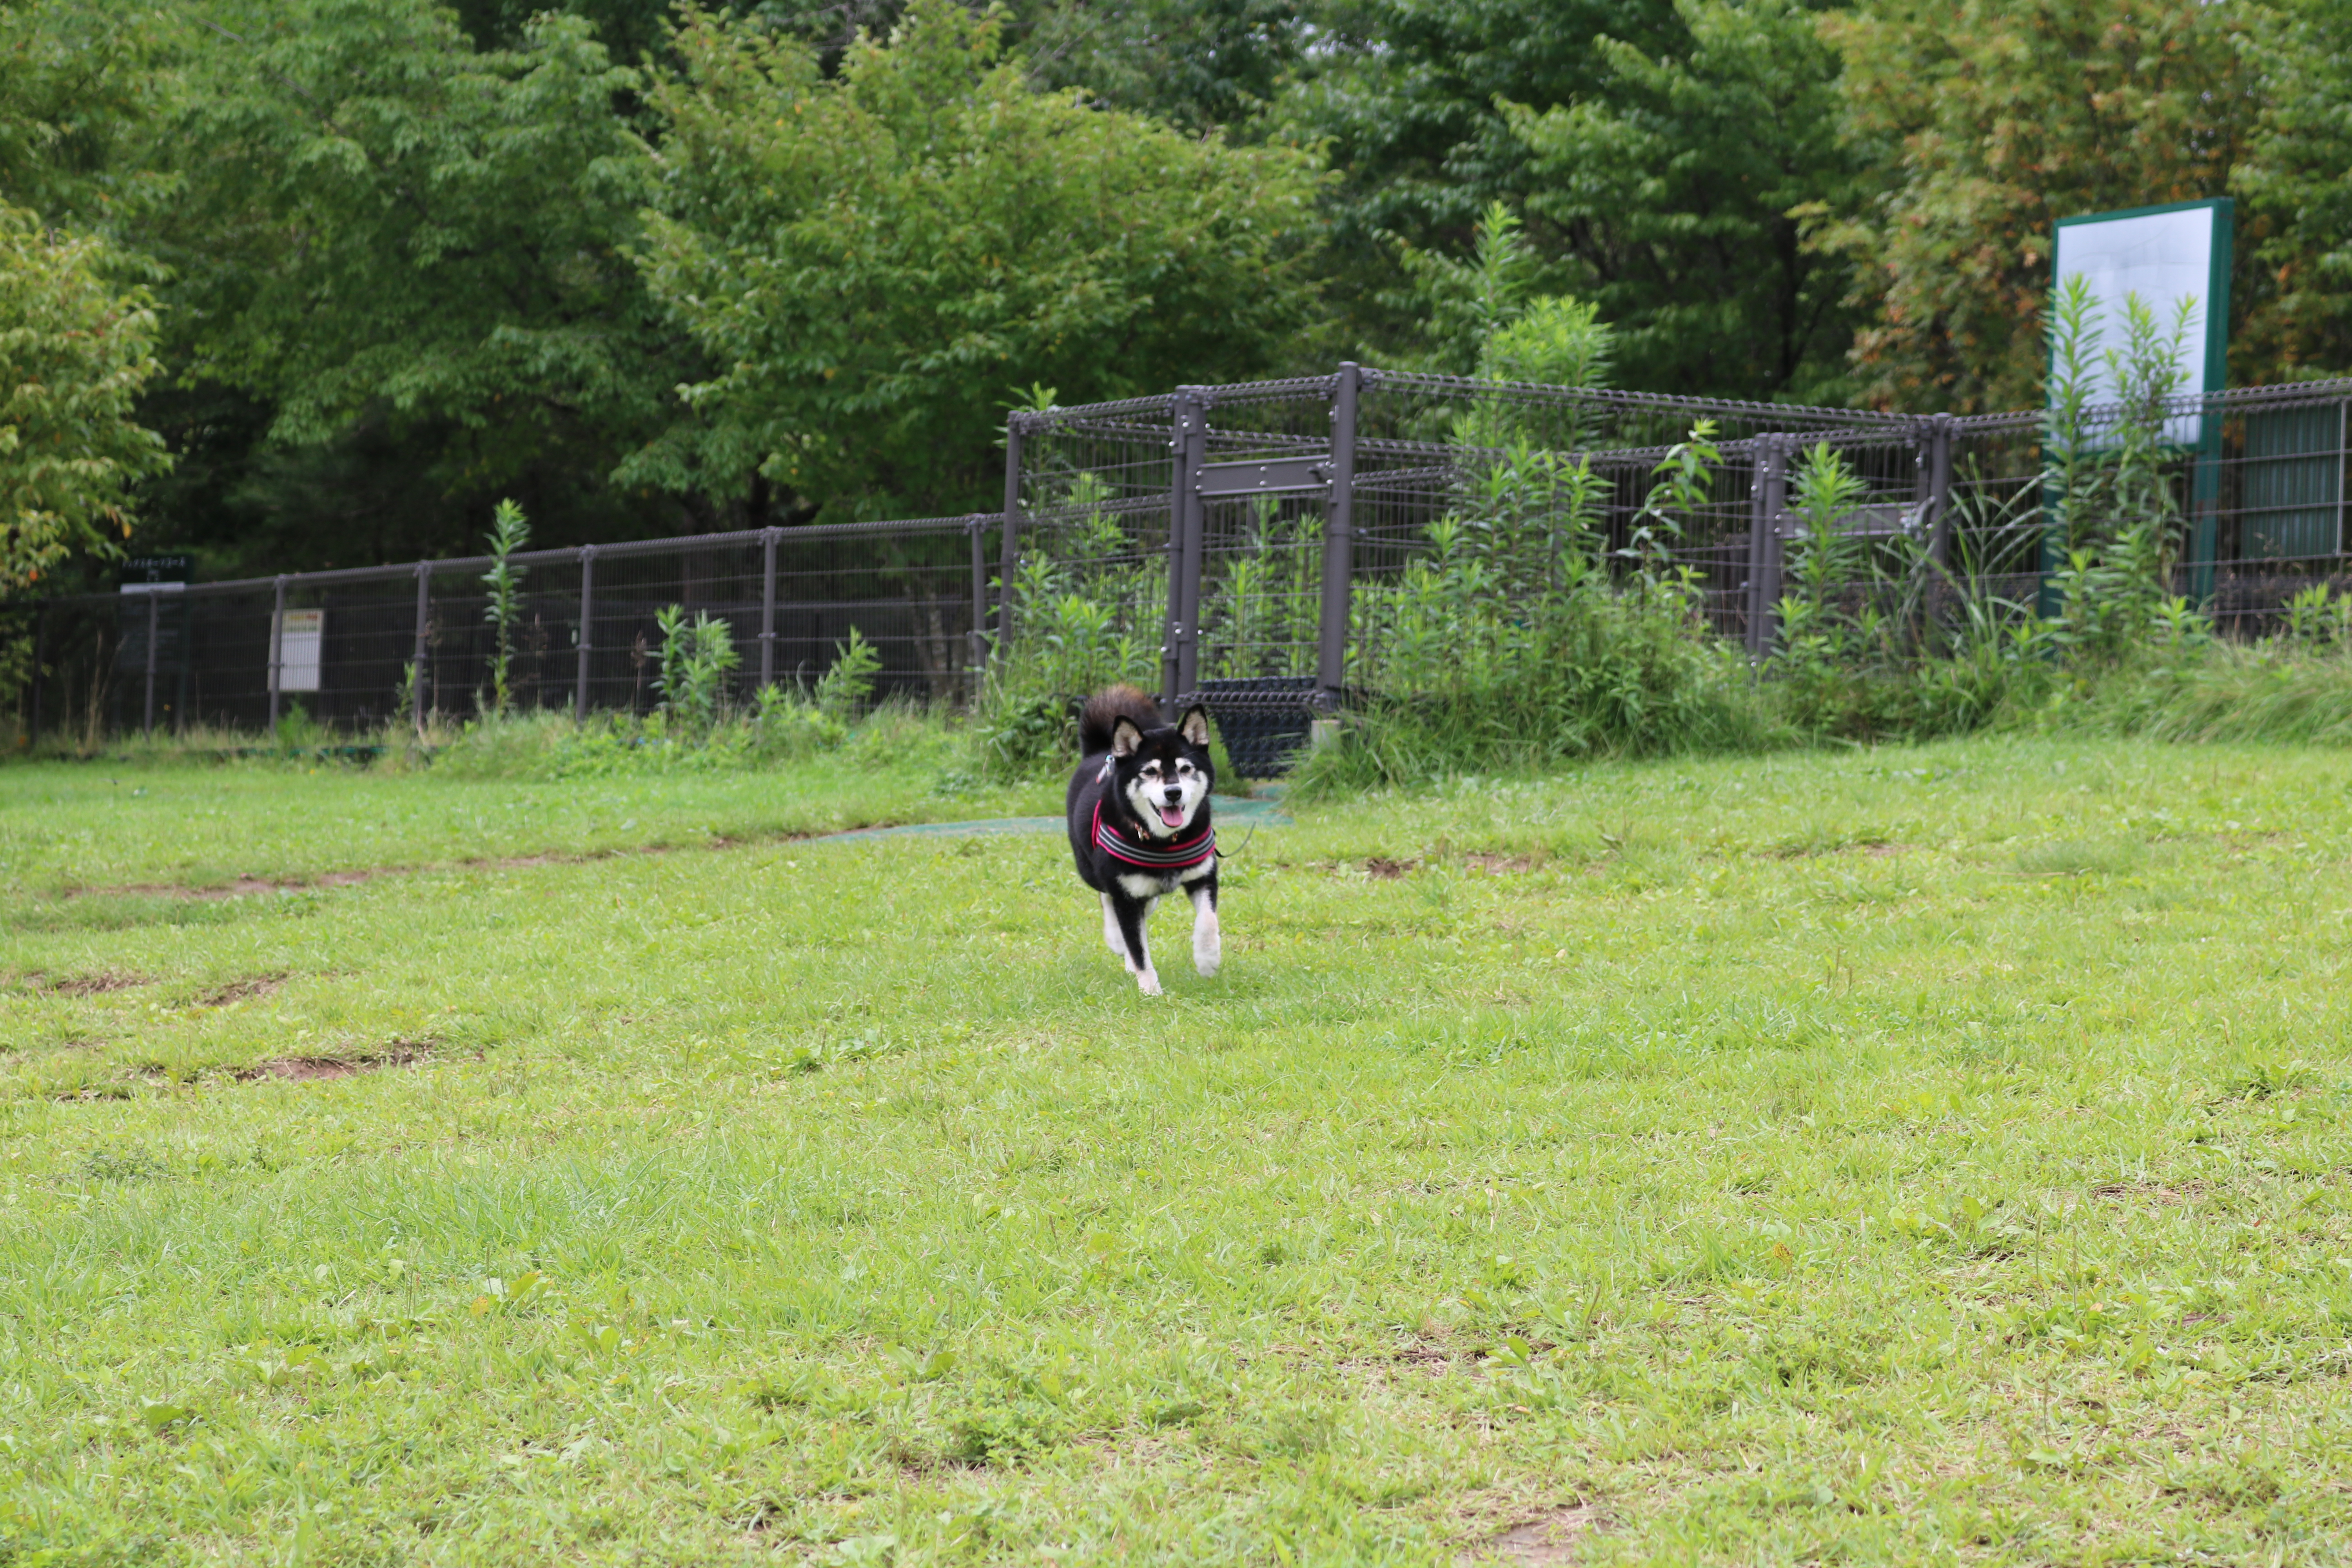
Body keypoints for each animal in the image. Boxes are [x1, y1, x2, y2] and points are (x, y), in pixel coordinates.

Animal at [1063, 686, 1214, 992]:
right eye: (1150, 772)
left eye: (1186, 769)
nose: (1173, 793)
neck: (1164, 842)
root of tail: (1101, 753)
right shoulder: (1125, 895)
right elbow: (1138, 949)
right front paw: (1151, 991)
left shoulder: (1204, 876)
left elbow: (1208, 920)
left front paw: (1208, 959)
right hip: (1091, 870)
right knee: (1108, 899)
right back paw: (1116, 939)